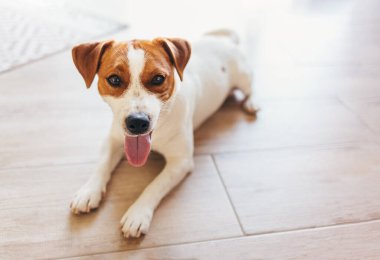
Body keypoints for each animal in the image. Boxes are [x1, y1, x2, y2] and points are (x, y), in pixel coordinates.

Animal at [70, 30, 256, 238]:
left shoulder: (180, 162)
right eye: (114, 80)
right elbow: (101, 165)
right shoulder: (113, 139)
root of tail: (221, 40)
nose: (137, 122)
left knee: (251, 88)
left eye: (158, 79)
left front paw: (138, 214)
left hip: (243, 77)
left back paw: (252, 103)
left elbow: (155, 185)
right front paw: (88, 191)